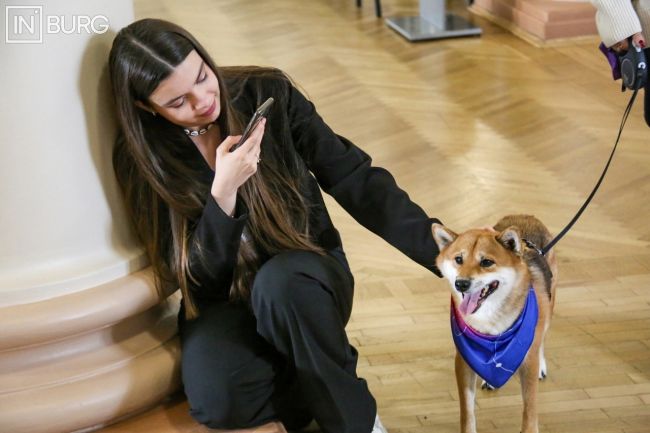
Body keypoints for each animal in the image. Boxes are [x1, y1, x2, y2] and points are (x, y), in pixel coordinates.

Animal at [430, 215, 556, 432]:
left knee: (542, 338)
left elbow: (530, 409)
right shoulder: (464, 360)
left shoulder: (527, 361)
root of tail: (525, 216)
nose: (461, 284)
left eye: (487, 262)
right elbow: (467, 411)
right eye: (458, 259)